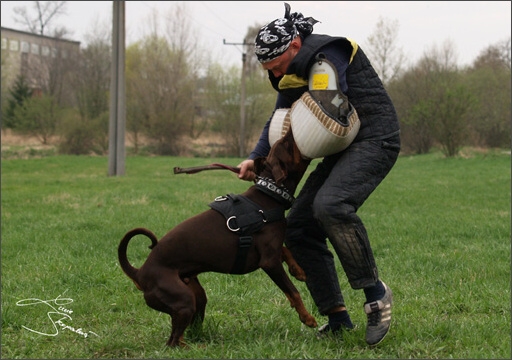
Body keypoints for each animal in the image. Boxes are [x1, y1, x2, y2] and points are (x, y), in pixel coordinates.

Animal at [118, 129, 316, 346]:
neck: (269, 196)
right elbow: (293, 291)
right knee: (173, 342)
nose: (290, 131)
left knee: (179, 333)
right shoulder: (269, 262)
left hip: (195, 296)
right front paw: (307, 317)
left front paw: (299, 270)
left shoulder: (271, 249)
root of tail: (139, 272)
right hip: (183, 299)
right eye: (287, 144)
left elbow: (286, 251)